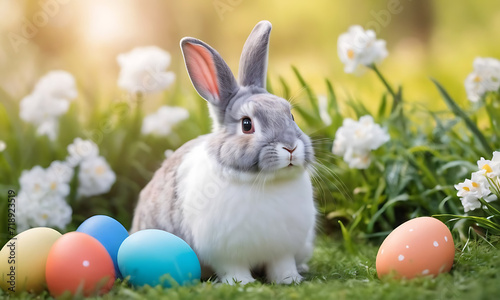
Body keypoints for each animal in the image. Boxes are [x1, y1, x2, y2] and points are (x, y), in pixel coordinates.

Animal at [130, 20, 316, 284]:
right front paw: (243, 284)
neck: (264, 181)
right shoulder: (226, 255)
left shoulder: (283, 251)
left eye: (290, 116)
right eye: (247, 124)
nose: (290, 147)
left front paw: (290, 280)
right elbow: (233, 269)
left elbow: (282, 265)